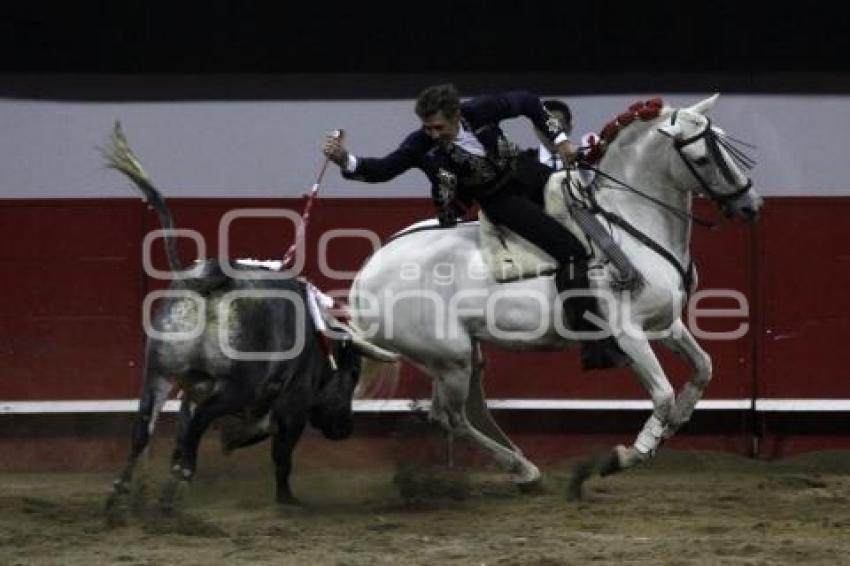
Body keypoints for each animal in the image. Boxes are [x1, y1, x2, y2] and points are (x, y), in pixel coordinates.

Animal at [346, 94, 760, 488]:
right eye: (703, 158)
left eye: (723, 140)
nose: (751, 205)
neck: (629, 222)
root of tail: (367, 273)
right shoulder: (628, 333)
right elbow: (662, 395)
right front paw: (627, 455)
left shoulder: (664, 323)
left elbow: (703, 367)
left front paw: (676, 421)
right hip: (450, 358)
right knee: (452, 417)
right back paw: (524, 469)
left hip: (463, 354)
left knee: (463, 412)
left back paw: (523, 467)